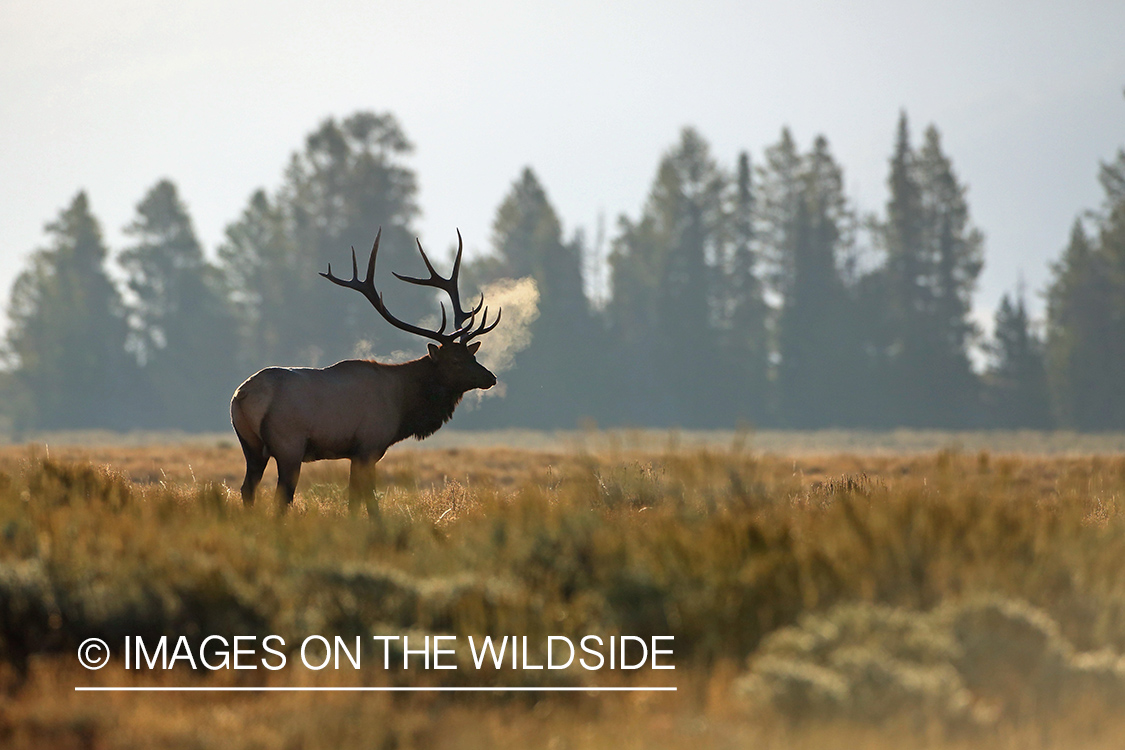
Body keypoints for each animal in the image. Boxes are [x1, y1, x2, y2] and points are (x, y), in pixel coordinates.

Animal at [230, 229, 499, 510]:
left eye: (472, 355)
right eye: (455, 361)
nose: (490, 378)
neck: (403, 406)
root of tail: (242, 395)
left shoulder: (355, 453)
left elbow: (354, 498)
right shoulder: (369, 445)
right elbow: (367, 498)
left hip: (251, 446)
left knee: (248, 488)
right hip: (288, 444)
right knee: (282, 496)